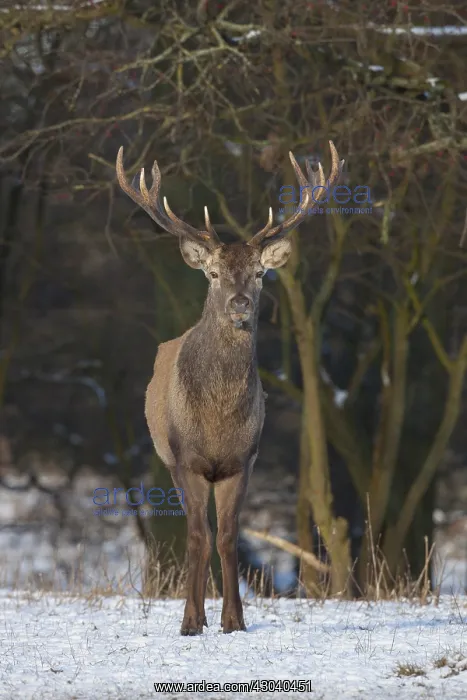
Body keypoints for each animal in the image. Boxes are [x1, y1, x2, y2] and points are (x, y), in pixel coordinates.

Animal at [115, 141, 343, 635]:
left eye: (259, 273)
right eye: (215, 273)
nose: (239, 303)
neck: (219, 417)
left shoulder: (244, 459)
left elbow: (228, 536)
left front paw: (234, 621)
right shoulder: (186, 459)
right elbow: (198, 536)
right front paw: (190, 621)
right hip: (169, 461)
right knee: (194, 530)